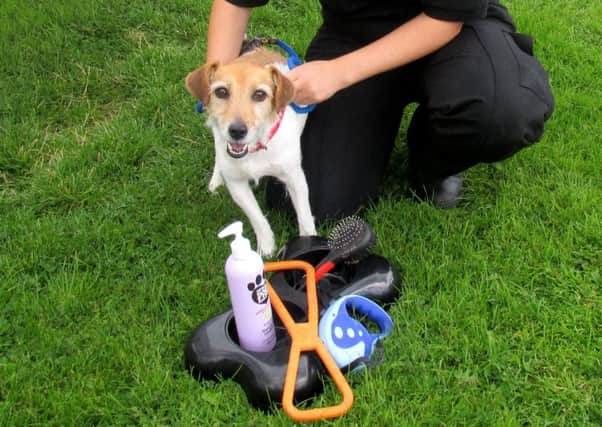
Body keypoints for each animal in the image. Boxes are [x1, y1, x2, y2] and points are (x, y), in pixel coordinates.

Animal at [185, 48, 316, 256]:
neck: (255, 149)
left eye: (260, 94)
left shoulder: (295, 178)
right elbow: (257, 217)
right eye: (221, 92)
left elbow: (304, 216)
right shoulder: (236, 184)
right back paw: (216, 178)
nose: (237, 131)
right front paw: (266, 246)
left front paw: (310, 243)